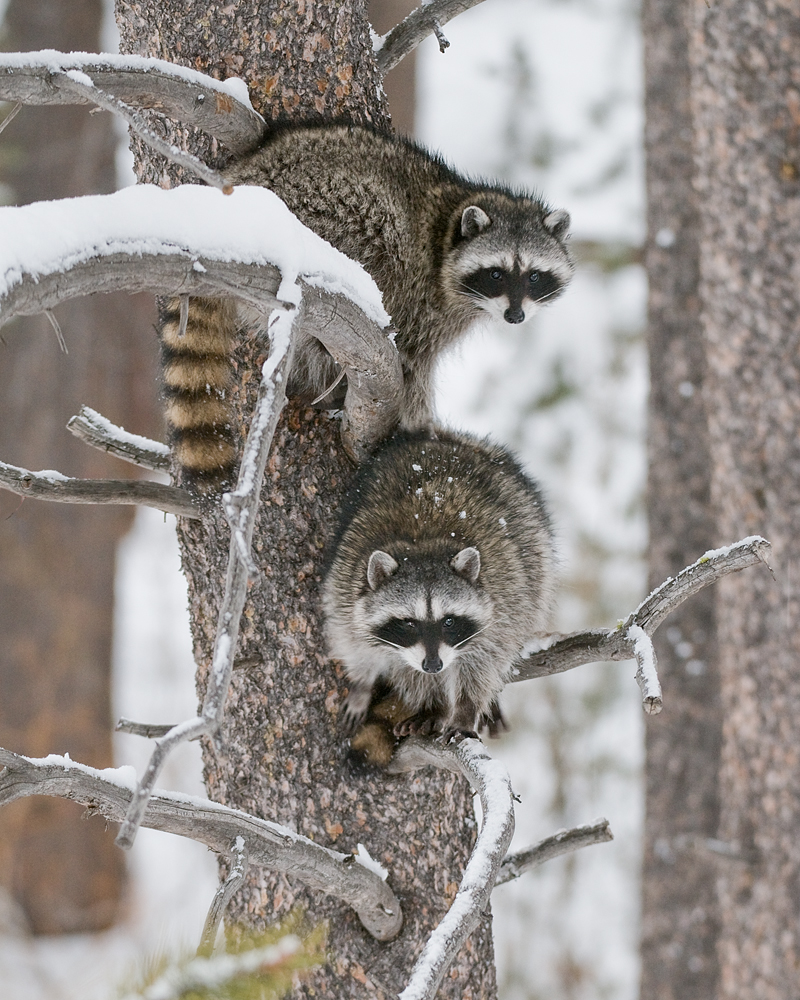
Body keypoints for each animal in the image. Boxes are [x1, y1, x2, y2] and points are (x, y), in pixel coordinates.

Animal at [159, 123, 572, 490]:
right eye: (496, 274)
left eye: (534, 276)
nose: (515, 316)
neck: (449, 225)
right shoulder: (425, 300)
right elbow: (414, 363)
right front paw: (423, 424)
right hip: (322, 214)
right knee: (377, 226)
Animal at [322, 426, 552, 752]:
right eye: (408, 623)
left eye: (449, 621)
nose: (433, 665)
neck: (424, 545)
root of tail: (445, 438)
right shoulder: (345, 586)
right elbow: (355, 645)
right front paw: (364, 685)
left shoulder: (505, 602)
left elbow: (484, 662)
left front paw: (466, 709)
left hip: (533, 559)